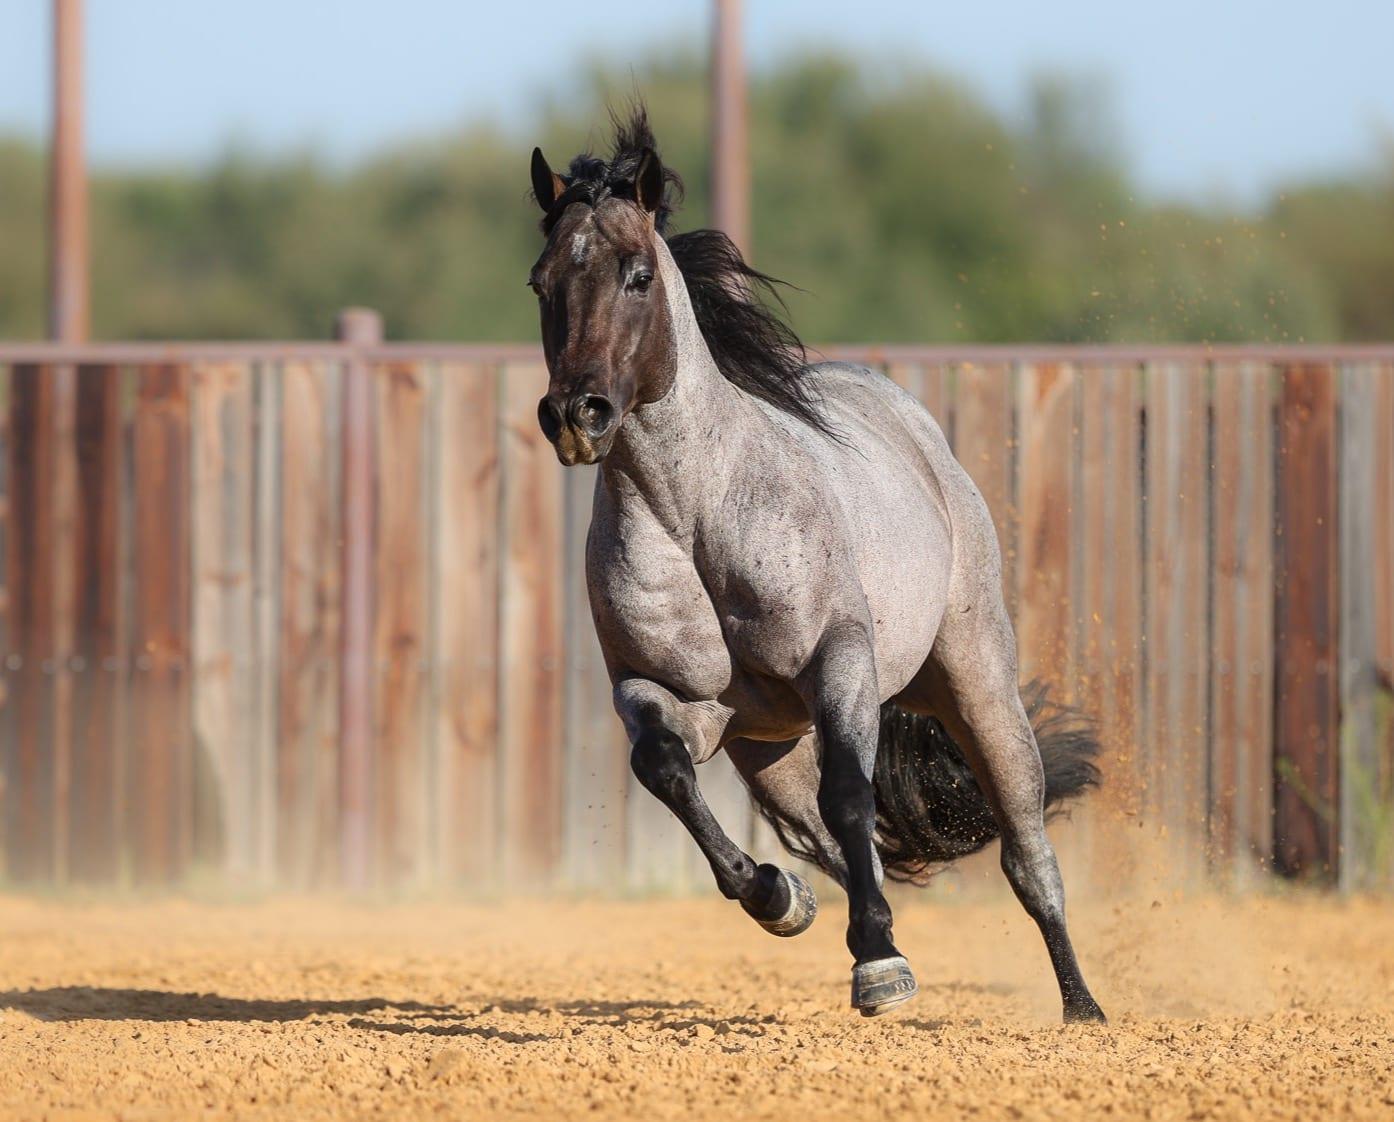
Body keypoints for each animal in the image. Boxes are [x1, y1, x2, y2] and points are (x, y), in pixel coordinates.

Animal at [526, 108, 1106, 1022]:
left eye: (637, 275)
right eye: (540, 282)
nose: (576, 414)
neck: (697, 514)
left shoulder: (841, 662)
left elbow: (852, 792)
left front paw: (879, 969)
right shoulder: (664, 693)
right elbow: (666, 769)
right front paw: (779, 898)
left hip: (978, 684)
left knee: (1022, 849)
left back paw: (1082, 1009)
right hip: (773, 754)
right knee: (829, 840)